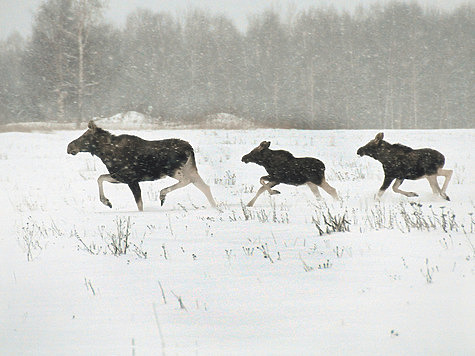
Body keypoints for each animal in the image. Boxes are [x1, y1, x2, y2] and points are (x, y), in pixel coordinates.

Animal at [66, 121, 216, 210]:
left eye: (85, 136)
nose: (69, 147)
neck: (104, 154)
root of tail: (189, 148)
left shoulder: (130, 179)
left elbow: (139, 204)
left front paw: (107, 202)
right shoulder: (121, 177)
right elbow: (100, 177)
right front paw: (107, 202)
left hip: (173, 170)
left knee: (187, 181)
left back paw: (162, 194)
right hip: (189, 169)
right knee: (205, 186)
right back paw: (215, 207)